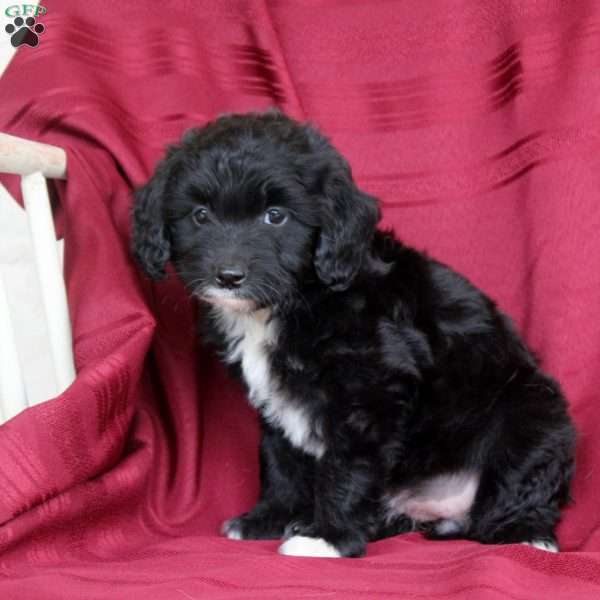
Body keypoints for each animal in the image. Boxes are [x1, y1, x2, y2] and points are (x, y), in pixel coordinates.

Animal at [132, 109, 576, 556]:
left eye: (276, 216)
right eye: (200, 215)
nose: (228, 276)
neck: (295, 299)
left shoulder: (371, 395)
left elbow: (348, 468)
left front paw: (327, 537)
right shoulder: (277, 401)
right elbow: (279, 461)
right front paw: (269, 518)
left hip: (530, 416)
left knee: (520, 486)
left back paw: (525, 534)